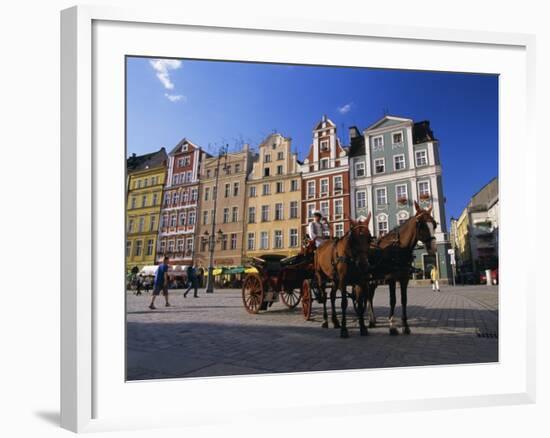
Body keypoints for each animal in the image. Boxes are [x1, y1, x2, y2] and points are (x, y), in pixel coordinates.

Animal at [366, 202, 440, 336]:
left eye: (434, 224)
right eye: (421, 225)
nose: (433, 248)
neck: (398, 248)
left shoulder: (404, 278)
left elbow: (404, 300)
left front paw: (405, 326)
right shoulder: (391, 279)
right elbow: (393, 300)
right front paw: (392, 325)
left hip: (373, 281)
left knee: (370, 297)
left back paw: (373, 320)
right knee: (368, 297)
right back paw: (370, 320)